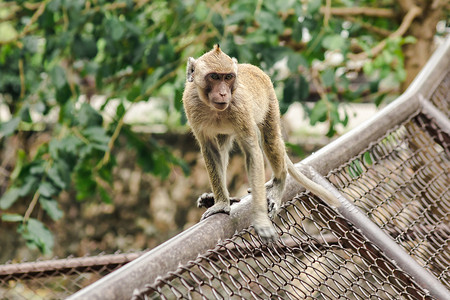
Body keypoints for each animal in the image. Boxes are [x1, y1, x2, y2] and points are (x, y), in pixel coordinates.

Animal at [183, 44, 338, 243]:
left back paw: (278, 183)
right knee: (222, 145)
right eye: (214, 77)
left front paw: (260, 218)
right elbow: (210, 149)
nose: (224, 93)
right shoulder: (191, 105)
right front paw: (221, 203)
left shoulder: (240, 107)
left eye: (228, 77)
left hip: (270, 102)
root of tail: (252, 67)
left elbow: (253, 152)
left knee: (270, 140)